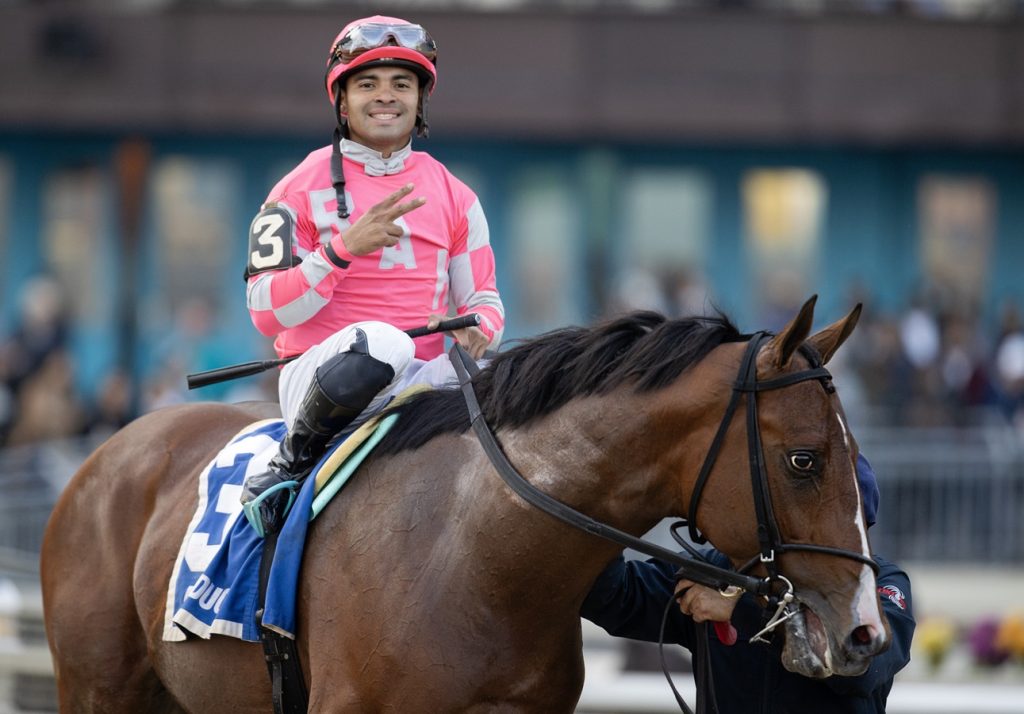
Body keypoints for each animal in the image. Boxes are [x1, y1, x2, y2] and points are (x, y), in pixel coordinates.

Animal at [39, 295, 888, 712]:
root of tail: (109, 450)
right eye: (805, 458)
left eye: (857, 455)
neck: (472, 555)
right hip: (99, 688)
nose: (865, 632)